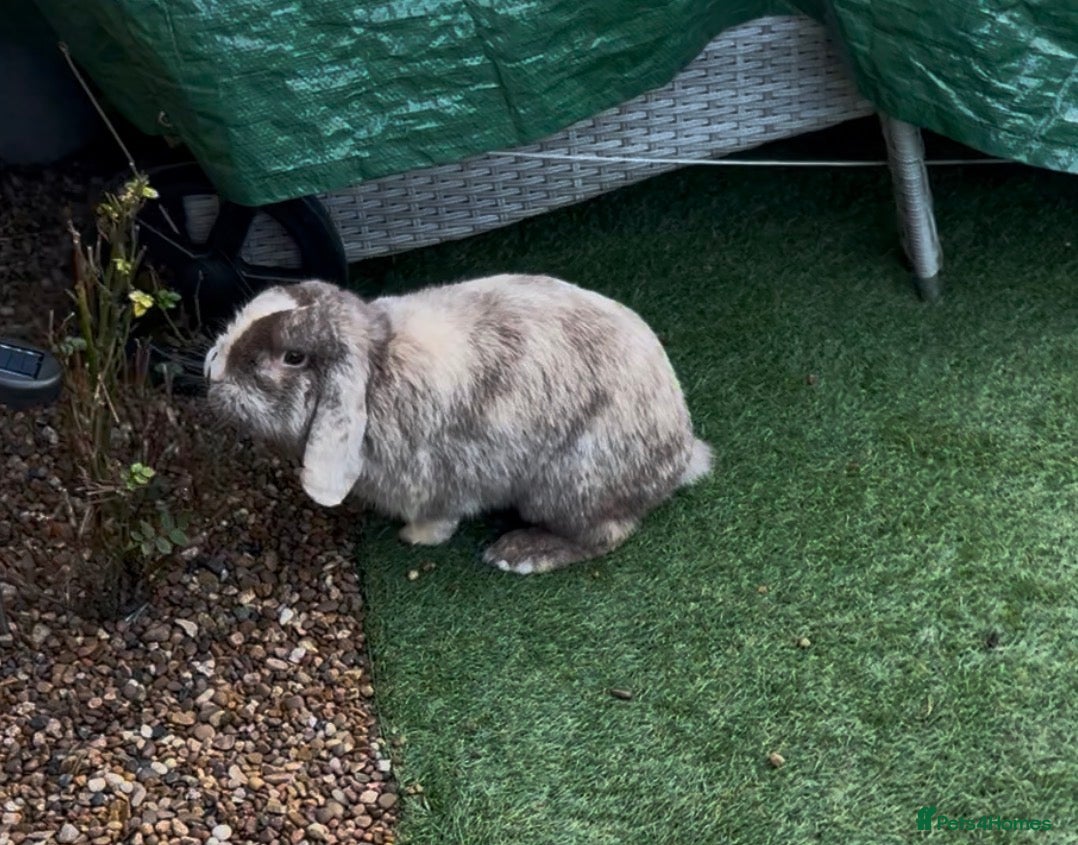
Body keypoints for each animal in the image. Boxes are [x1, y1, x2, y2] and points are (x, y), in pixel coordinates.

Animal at [203, 274, 711, 574]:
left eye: (293, 357)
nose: (212, 370)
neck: (378, 366)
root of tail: (679, 455)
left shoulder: (438, 479)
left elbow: (440, 517)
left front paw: (414, 537)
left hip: (572, 483)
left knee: (606, 534)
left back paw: (521, 553)